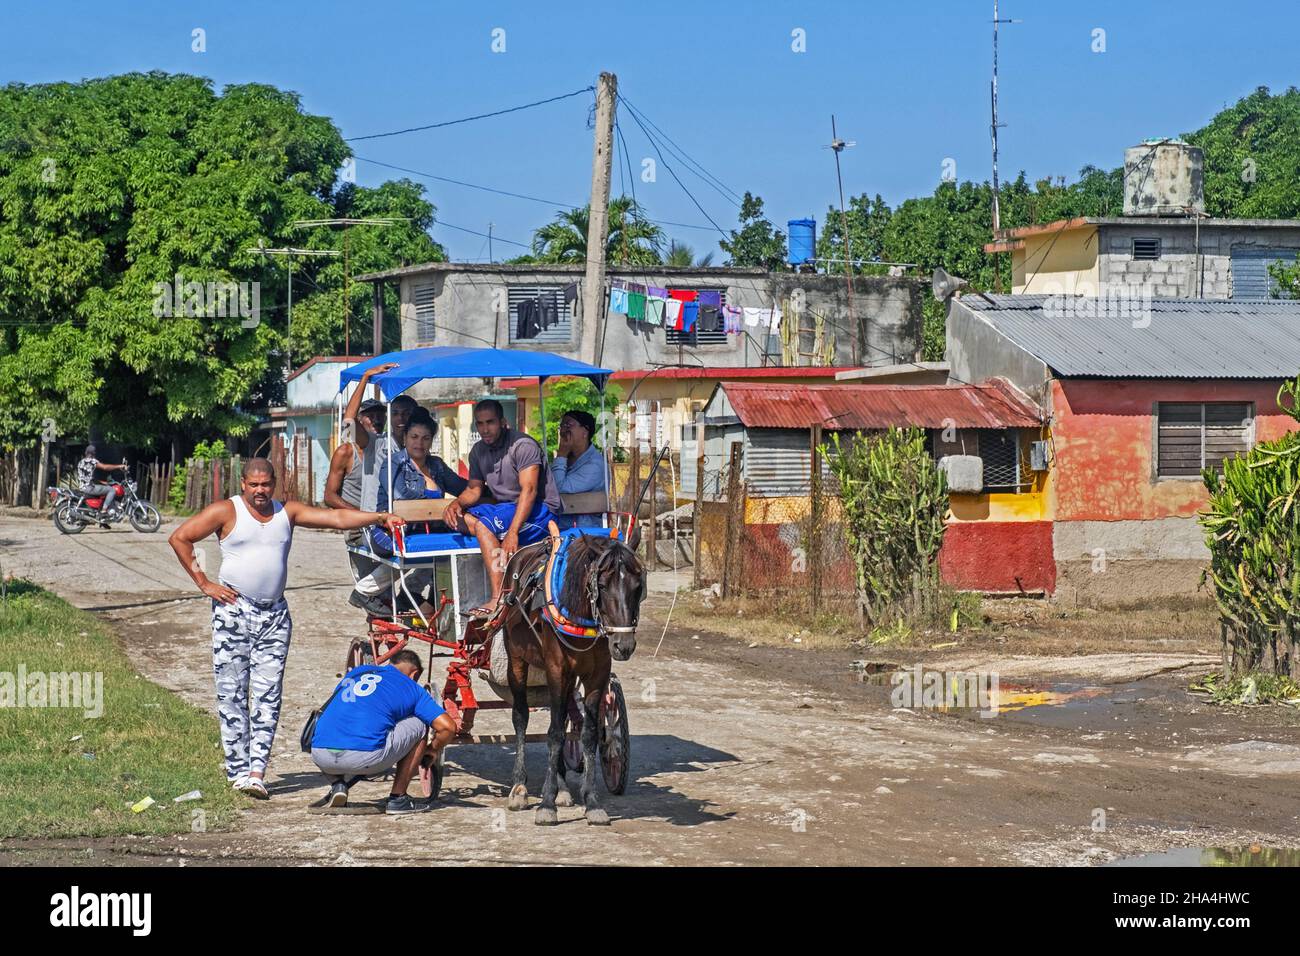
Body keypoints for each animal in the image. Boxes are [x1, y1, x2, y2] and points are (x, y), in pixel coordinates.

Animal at [496, 528, 644, 827]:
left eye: (638, 587)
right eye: (603, 585)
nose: (624, 645)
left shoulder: (598, 674)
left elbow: (588, 734)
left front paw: (591, 802)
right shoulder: (556, 669)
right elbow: (553, 734)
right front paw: (546, 804)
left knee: (565, 719)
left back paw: (563, 788)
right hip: (517, 660)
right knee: (521, 717)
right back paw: (520, 788)